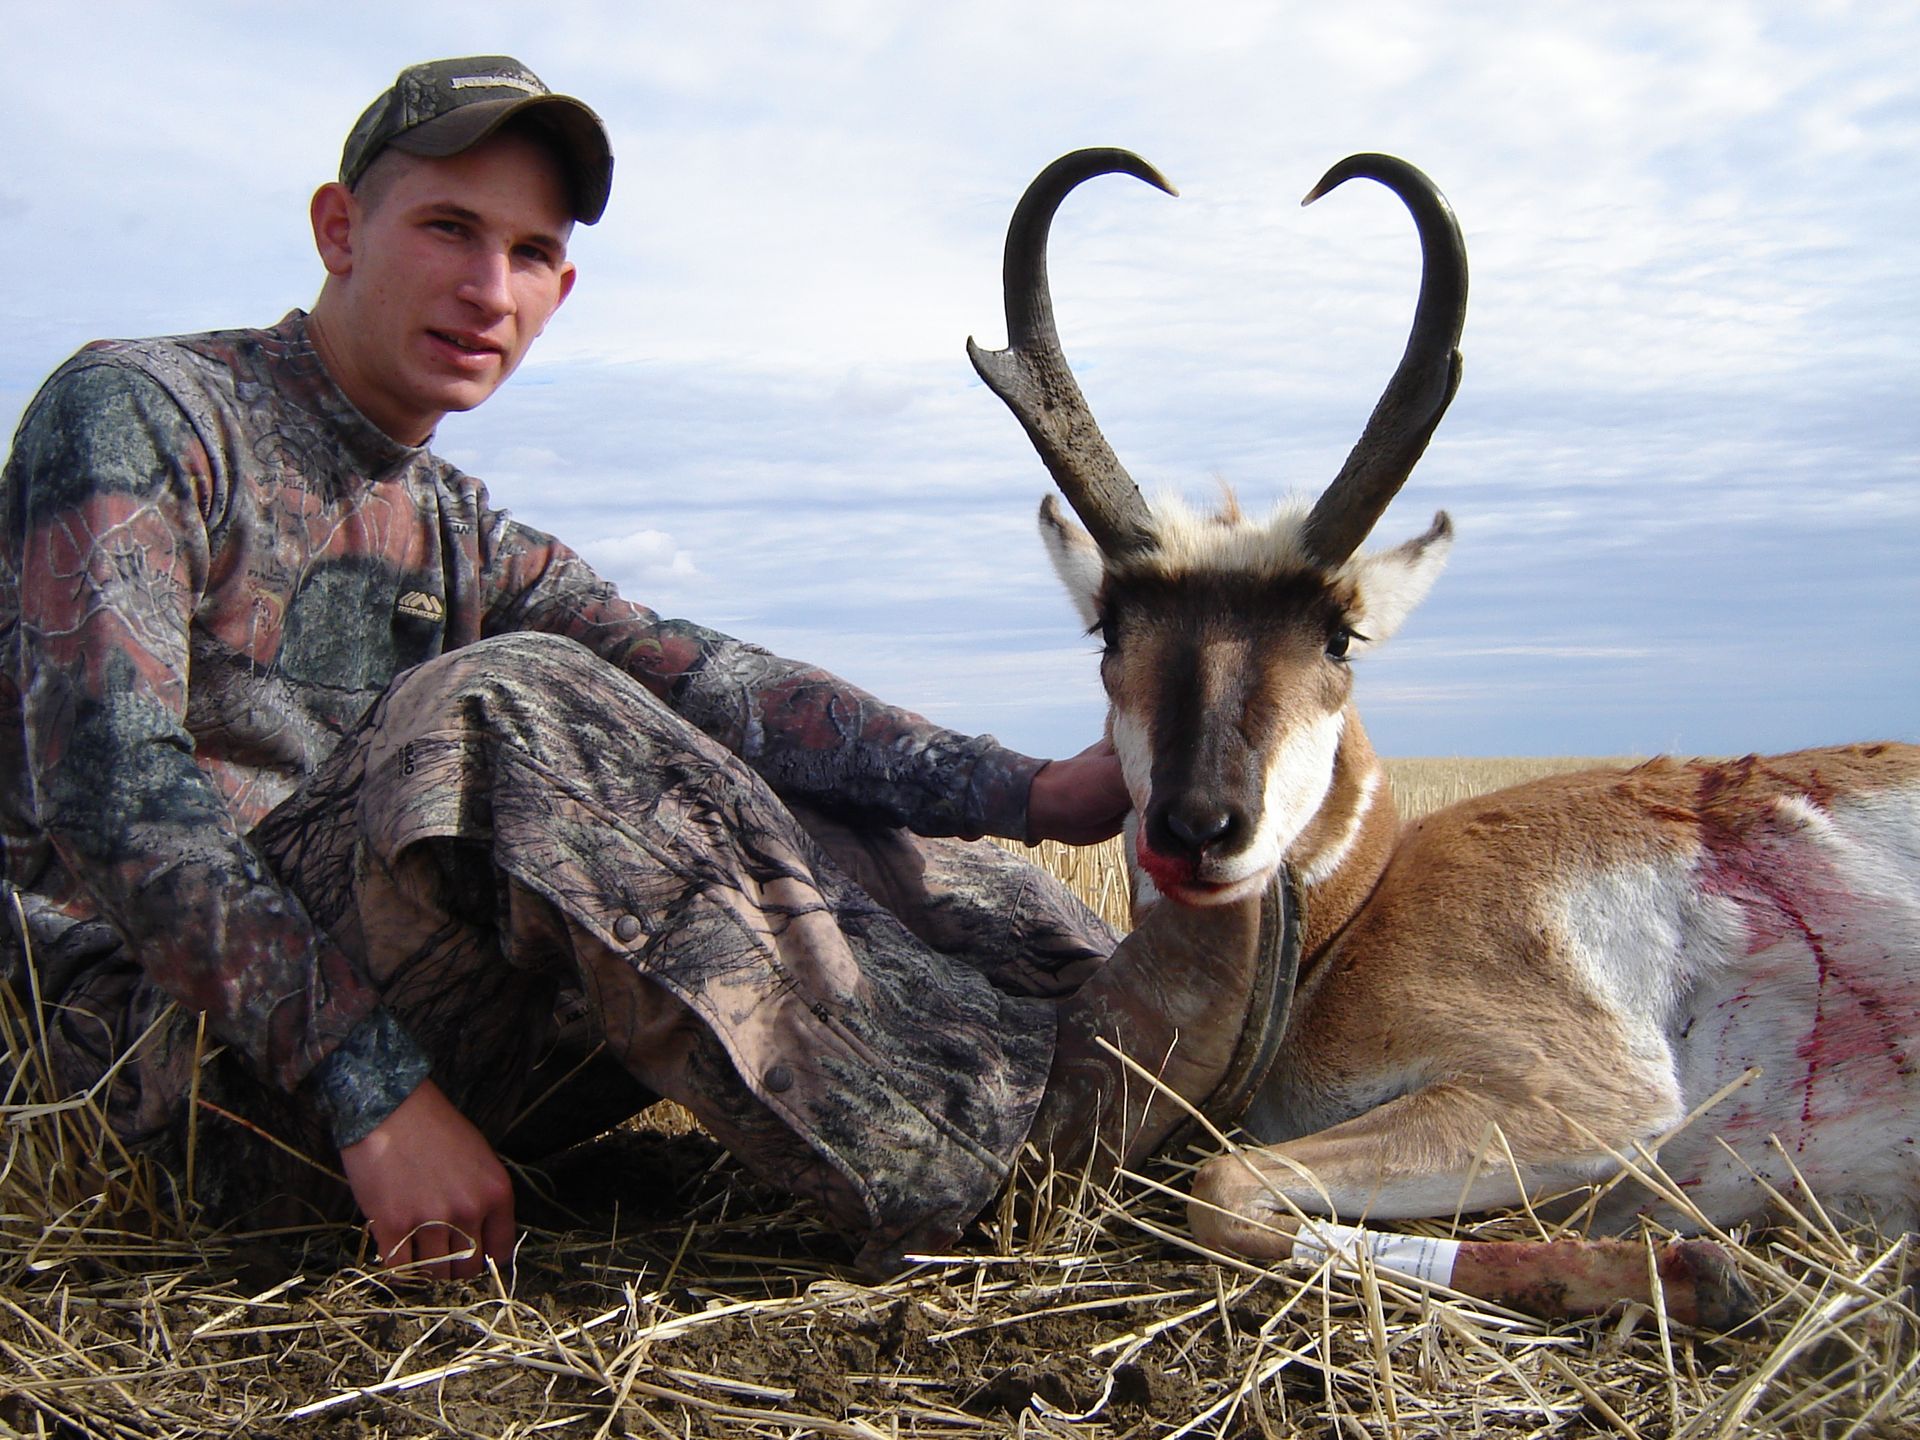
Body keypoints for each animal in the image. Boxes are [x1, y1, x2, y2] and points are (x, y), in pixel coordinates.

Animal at [970, 148, 1920, 1326]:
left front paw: (1697, 1272)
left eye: (1342, 634)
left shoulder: (1584, 1097)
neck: (1366, 907)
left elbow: (1221, 1186)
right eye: (1111, 628)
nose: (1198, 830)